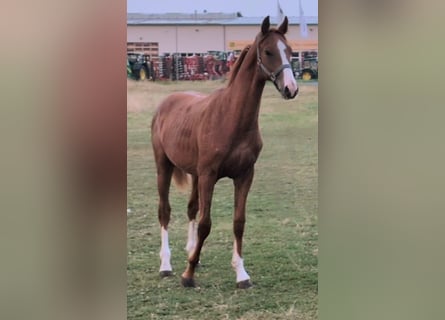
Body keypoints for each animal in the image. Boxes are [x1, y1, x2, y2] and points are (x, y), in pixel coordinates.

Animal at [150, 16, 298, 288]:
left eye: (291, 51)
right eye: (268, 51)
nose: (291, 89)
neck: (230, 118)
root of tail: (166, 103)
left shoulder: (244, 175)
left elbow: (238, 222)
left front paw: (241, 274)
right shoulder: (209, 176)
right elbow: (206, 224)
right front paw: (188, 275)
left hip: (194, 174)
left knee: (191, 208)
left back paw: (191, 253)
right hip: (164, 167)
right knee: (164, 210)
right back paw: (166, 265)